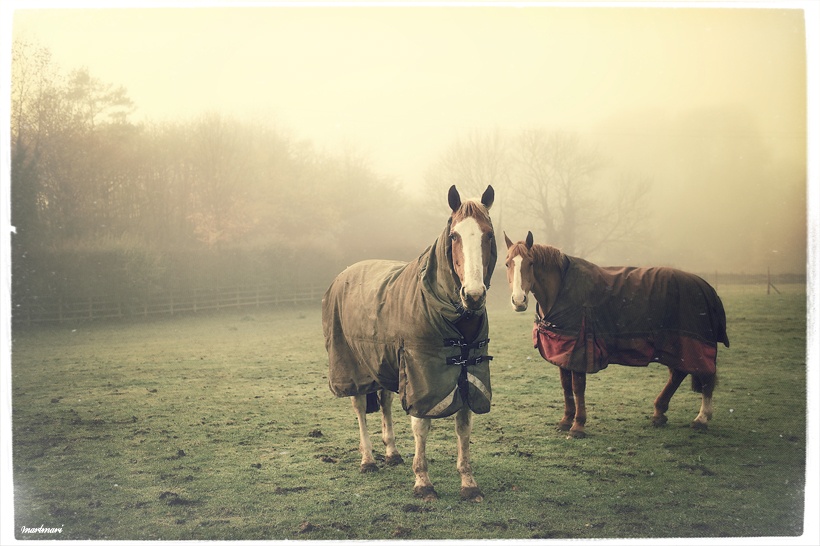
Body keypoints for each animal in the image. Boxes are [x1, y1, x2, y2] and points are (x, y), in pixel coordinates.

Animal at [323, 185, 497, 501]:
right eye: (454, 236)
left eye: (488, 234)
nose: (474, 295)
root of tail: (345, 273)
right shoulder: (420, 375)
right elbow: (421, 426)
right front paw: (423, 482)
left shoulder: (468, 374)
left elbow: (463, 427)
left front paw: (468, 484)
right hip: (354, 368)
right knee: (359, 407)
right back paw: (368, 460)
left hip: (382, 362)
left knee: (385, 402)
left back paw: (391, 453)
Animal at [504, 231, 729, 438]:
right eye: (507, 264)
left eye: (531, 263)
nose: (519, 300)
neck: (562, 289)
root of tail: (704, 286)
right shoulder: (562, 351)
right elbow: (566, 386)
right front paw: (566, 420)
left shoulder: (579, 351)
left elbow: (577, 387)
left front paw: (578, 425)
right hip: (676, 345)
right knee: (678, 374)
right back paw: (659, 412)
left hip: (695, 344)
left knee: (705, 375)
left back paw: (701, 418)